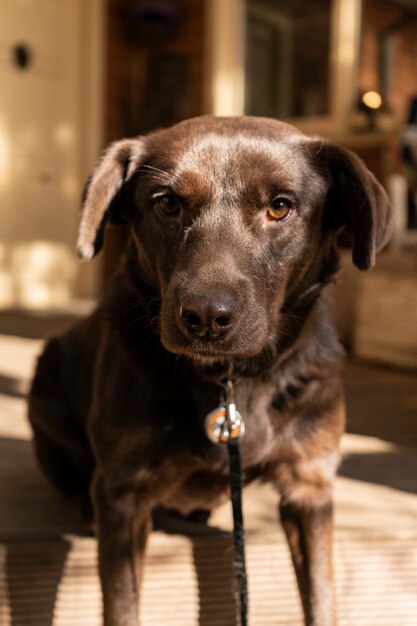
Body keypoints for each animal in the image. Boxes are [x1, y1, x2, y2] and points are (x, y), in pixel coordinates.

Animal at [27, 114, 392, 620]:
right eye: (168, 204)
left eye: (280, 207)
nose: (205, 317)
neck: (230, 383)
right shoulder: (124, 494)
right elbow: (122, 606)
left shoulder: (310, 486)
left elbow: (321, 597)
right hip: (47, 378)